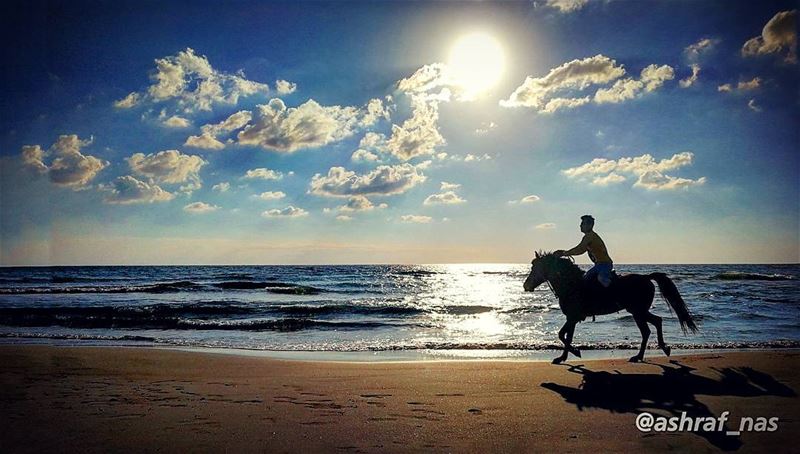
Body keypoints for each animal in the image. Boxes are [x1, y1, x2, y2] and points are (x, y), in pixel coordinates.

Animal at [520, 252, 696, 366]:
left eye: (535, 268)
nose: (525, 285)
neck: (571, 285)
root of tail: (646, 278)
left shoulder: (572, 317)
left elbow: (562, 336)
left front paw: (573, 353)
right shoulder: (572, 318)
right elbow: (566, 336)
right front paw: (564, 357)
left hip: (638, 312)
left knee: (649, 328)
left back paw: (646, 353)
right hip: (638, 311)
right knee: (655, 323)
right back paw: (654, 351)